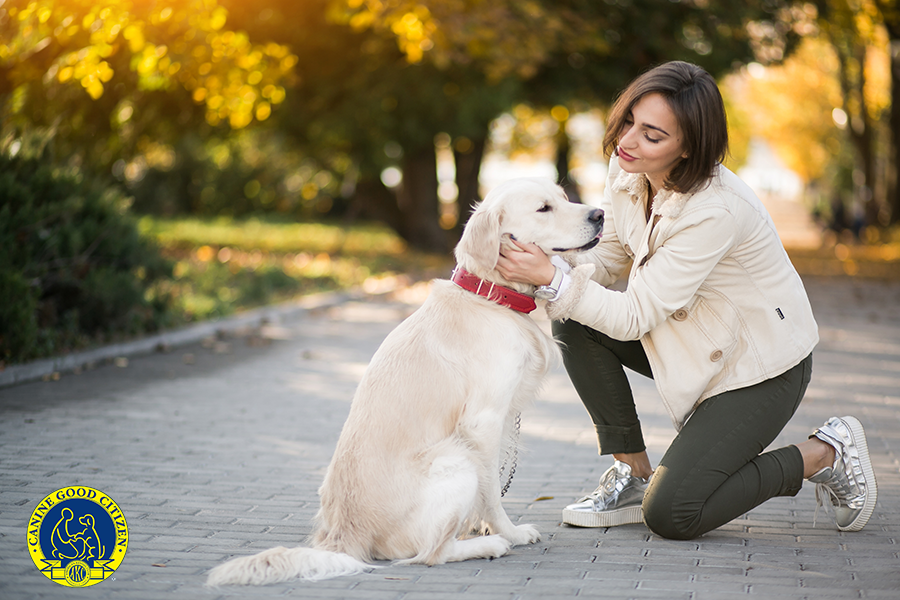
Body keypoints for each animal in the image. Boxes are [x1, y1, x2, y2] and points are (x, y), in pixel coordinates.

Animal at [206, 177, 604, 584]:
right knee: (431, 554)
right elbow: (492, 492)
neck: (489, 296)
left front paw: (480, 527)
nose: (600, 213)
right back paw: (488, 545)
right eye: (544, 208)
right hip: (455, 459)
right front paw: (508, 532)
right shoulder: (483, 422)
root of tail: (342, 537)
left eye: (563, 197)